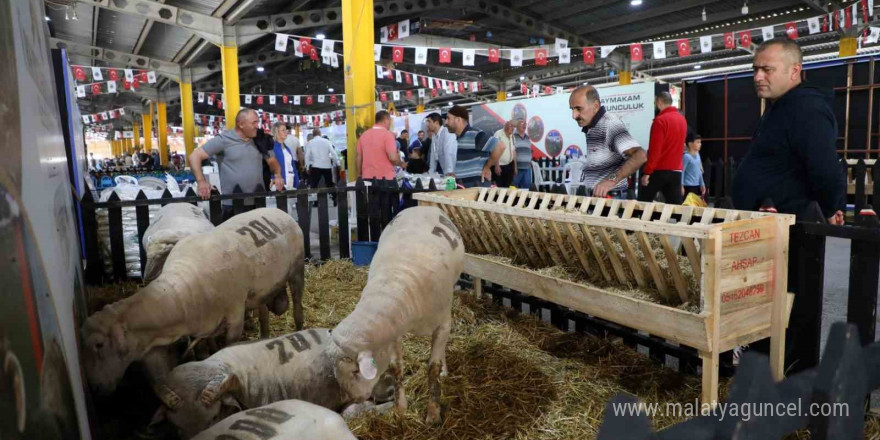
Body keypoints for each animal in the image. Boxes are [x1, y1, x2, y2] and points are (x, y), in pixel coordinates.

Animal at [80, 208, 306, 394]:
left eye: (99, 345)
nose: (96, 388)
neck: (181, 291)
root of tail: (278, 210)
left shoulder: (235, 315)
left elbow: (229, 346)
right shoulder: (201, 324)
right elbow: (203, 348)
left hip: (296, 270)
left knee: (297, 304)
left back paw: (299, 327)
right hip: (260, 291)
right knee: (264, 314)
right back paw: (264, 335)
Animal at [330, 208, 468, 424]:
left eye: (355, 371)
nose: (356, 400)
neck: (396, 282)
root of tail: (421, 207)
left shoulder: (443, 325)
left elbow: (433, 368)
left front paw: (433, 414)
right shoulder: (393, 332)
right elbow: (396, 367)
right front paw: (400, 409)